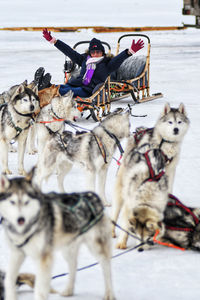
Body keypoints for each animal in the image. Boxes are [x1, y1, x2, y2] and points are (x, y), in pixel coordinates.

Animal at [0, 171, 115, 300]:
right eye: (12, 202)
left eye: (26, 202)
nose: (21, 219)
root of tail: (93, 196)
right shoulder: (17, 253)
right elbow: (9, 279)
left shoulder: (44, 258)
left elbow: (40, 289)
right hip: (68, 249)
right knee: (73, 266)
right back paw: (69, 290)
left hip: (96, 247)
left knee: (106, 267)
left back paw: (110, 294)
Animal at [111, 103, 190, 244]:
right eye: (170, 122)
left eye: (179, 122)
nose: (176, 129)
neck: (166, 143)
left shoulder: (170, 171)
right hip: (121, 186)